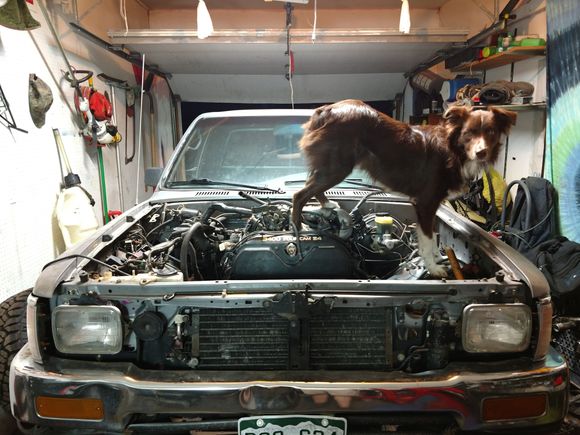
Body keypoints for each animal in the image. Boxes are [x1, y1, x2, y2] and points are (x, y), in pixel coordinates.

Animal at [290, 99, 516, 276]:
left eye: (491, 132)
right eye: (469, 133)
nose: (481, 152)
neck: (453, 150)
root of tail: (326, 109)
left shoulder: (433, 205)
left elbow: (433, 234)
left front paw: (438, 256)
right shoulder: (425, 203)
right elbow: (427, 238)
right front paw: (433, 267)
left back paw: (327, 205)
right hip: (338, 166)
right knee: (299, 194)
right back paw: (297, 229)